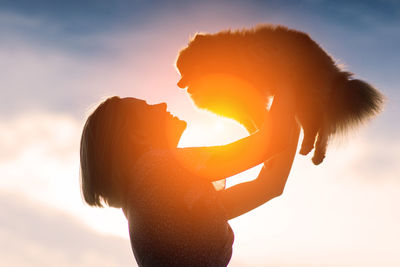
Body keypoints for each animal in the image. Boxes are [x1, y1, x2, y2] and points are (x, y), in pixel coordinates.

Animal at [176, 24, 384, 165]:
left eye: (186, 69)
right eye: (179, 70)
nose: (179, 84)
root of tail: (332, 68)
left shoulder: (252, 100)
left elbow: (260, 119)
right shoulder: (241, 109)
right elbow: (251, 125)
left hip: (303, 100)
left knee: (316, 126)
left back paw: (309, 148)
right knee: (323, 127)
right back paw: (316, 154)